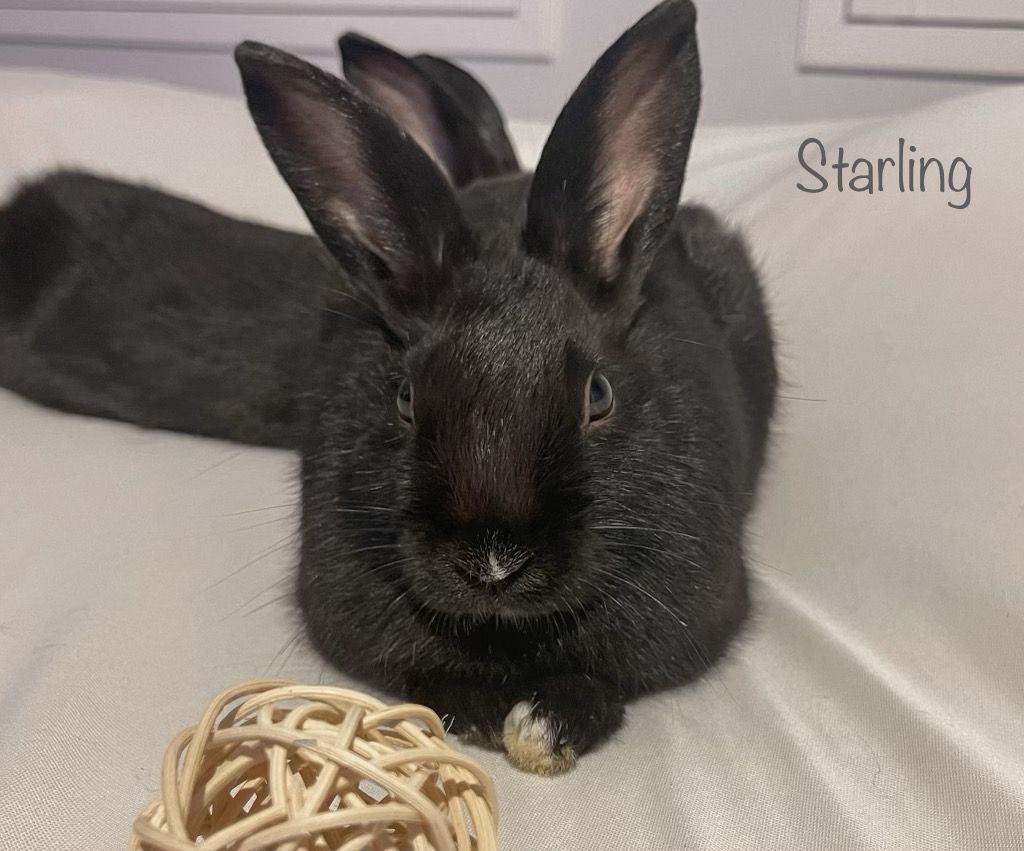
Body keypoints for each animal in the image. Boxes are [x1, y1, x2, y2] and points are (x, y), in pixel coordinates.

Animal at [232, 0, 776, 774]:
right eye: (403, 397)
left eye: (599, 395)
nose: (493, 563)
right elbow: (432, 674)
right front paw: (493, 712)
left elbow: (605, 676)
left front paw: (546, 727)